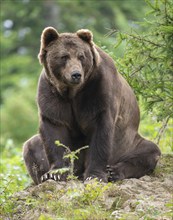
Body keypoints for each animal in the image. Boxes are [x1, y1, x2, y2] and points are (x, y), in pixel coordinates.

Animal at [22, 27, 161, 185]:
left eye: (81, 56)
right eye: (64, 56)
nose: (76, 74)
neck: (72, 92)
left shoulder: (98, 90)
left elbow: (100, 132)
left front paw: (95, 175)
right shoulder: (51, 93)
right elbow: (54, 130)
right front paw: (55, 173)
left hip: (128, 144)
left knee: (149, 151)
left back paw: (113, 171)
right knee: (31, 145)